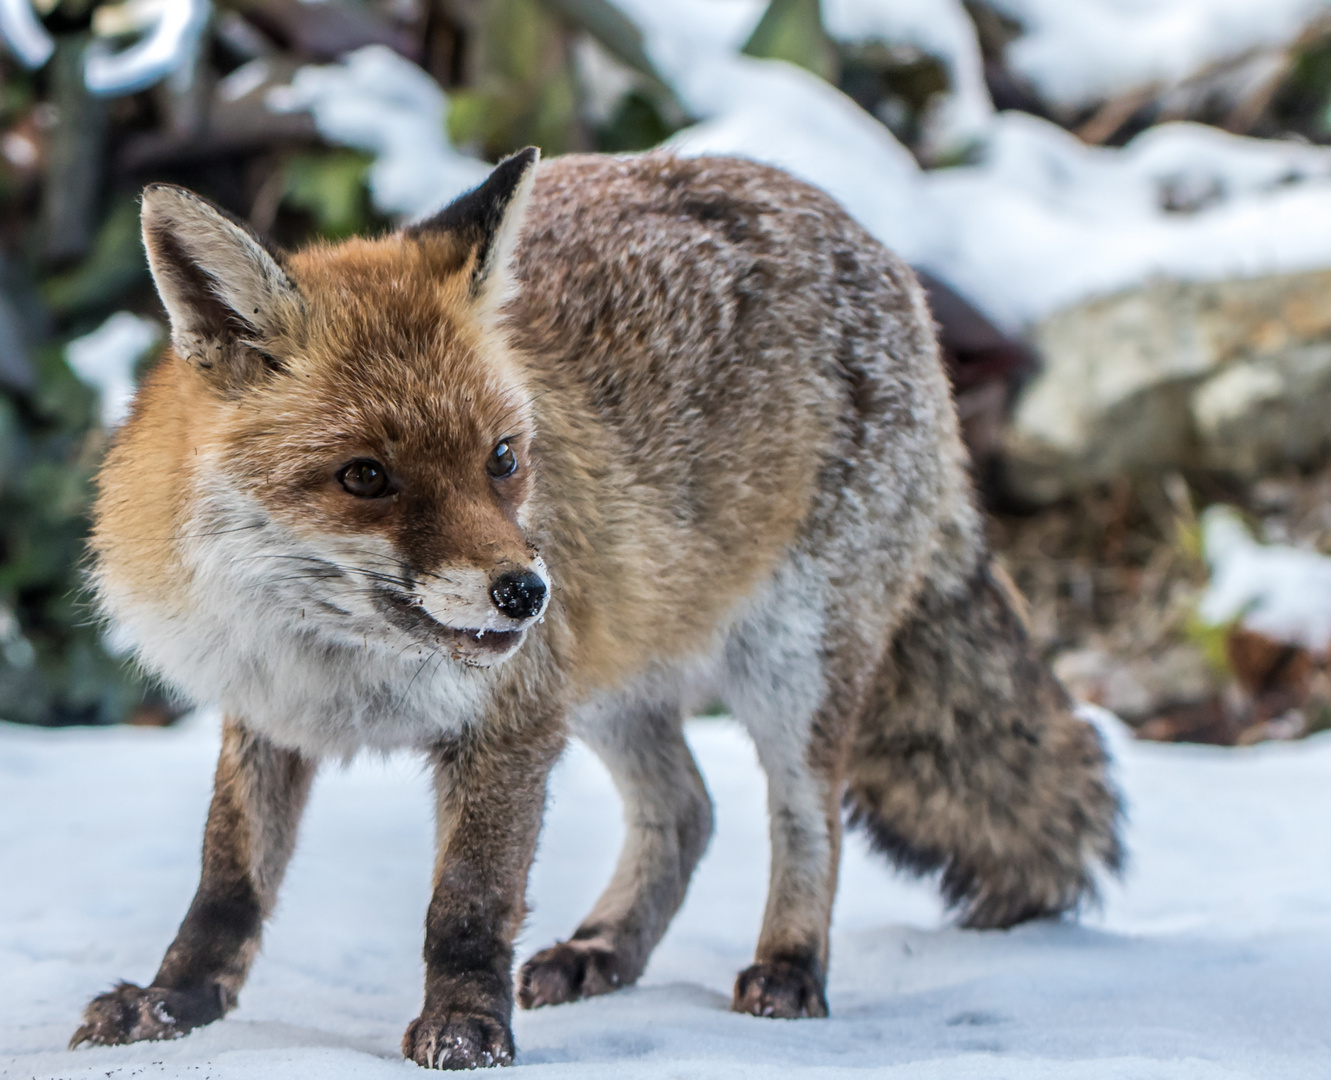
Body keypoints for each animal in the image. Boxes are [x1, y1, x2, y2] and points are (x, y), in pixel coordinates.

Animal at [67, 147, 1118, 1070]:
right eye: (365, 477)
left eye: (501, 458)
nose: (525, 591)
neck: (332, 659)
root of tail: (871, 241)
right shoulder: (266, 713)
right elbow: (227, 884)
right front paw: (174, 1002)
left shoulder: (511, 719)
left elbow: (466, 906)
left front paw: (463, 1031)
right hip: (608, 672)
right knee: (686, 811)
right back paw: (604, 951)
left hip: (786, 666)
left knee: (802, 819)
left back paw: (788, 967)